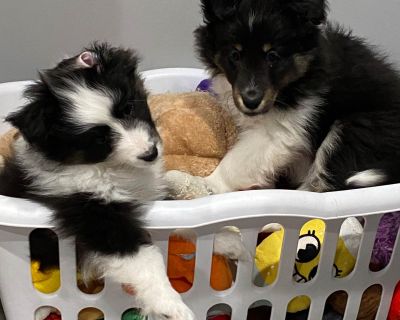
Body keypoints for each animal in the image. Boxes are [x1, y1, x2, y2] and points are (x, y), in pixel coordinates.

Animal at [0, 43, 194, 320]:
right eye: (99, 139)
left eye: (128, 108)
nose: (150, 153)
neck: (111, 168)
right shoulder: (94, 215)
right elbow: (142, 258)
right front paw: (171, 304)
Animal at [190, 0, 400, 194]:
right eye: (235, 55)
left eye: (272, 56)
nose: (251, 102)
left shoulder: (281, 130)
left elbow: (236, 161)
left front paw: (205, 184)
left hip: (356, 130)